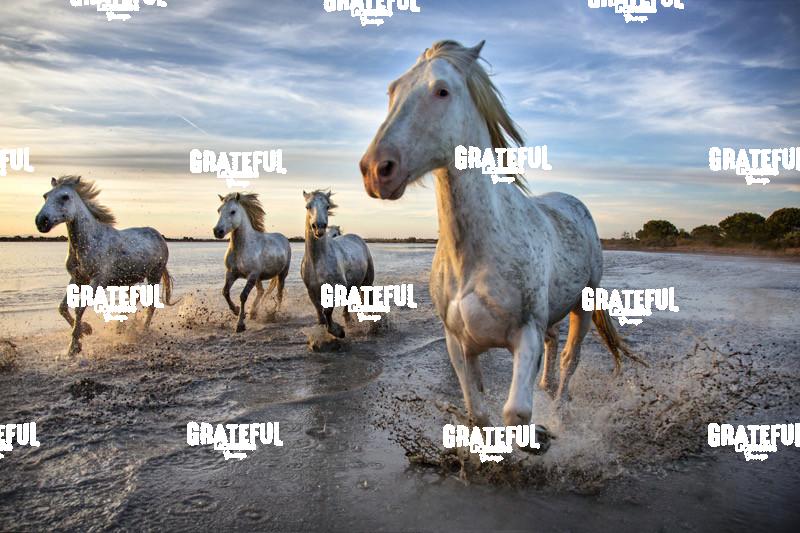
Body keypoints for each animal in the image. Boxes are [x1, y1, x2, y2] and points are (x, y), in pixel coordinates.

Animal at [35, 175, 175, 358]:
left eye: (65, 197)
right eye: (45, 196)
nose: (41, 221)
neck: (88, 242)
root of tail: (159, 236)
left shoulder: (97, 280)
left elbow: (79, 308)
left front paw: (74, 346)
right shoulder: (77, 278)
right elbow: (62, 307)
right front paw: (85, 330)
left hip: (153, 276)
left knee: (150, 304)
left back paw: (142, 330)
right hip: (127, 280)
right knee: (135, 297)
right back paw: (121, 327)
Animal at [213, 192, 291, 332]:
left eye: (233, 211)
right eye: (219, 210)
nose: (217, 231)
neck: (242, 248)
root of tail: (284, 238)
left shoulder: (252, 275)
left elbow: (243, 296)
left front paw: (240, 324)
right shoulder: (231, 274)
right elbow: (225, 292)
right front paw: (237, 311)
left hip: (282, 274)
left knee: (279, 294)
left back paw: (276, 314)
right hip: (259, 277)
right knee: (261, 291)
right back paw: (254, 312)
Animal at [301, 190, 374, 338]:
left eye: (327, 206)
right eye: (307, 206)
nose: (319, 227)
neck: (318, 261)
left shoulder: (337, 287)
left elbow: (327, 310)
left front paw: (338, 331)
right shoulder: (312, 290)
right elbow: (319, 312)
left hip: (367, 281)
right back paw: (348, 320)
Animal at [360, 40, 632, 432]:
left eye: (442, 91)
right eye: (393, 90)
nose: (376, 170)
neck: (477, 253)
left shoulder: (526, 335)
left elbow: (515, 412)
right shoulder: (459, 345)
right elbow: (479, 413)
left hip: (583, 303)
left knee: (570, 359)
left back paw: (559, 410)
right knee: (554, 348)